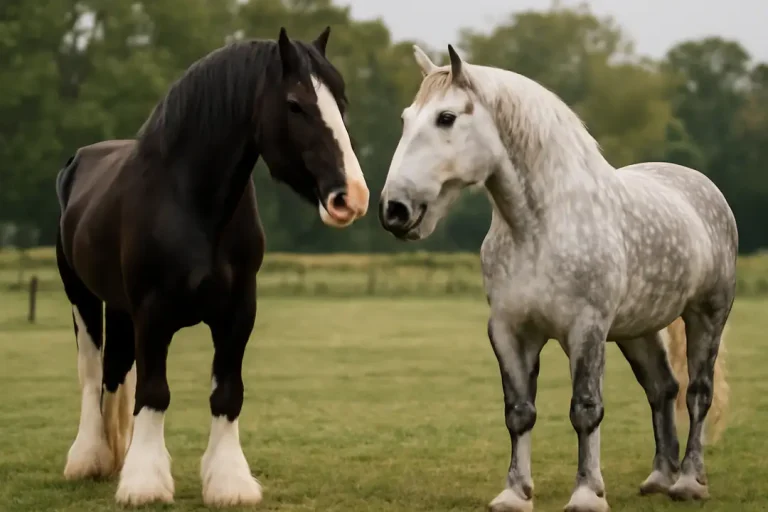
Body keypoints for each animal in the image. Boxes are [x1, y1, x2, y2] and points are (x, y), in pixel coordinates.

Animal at [55, 27, 368, 507]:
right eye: (295, 104)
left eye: (341, 100)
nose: (350, 196)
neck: (190, 202)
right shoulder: (153, 313)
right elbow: (154, 391)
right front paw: (145, 483)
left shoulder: (238, 311)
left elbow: (227, 393)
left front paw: (229, 482)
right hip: (83, 297)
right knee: (91, 373)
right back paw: (87, 458)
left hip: (120, 307)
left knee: (113, 372)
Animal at [379, 45, 734, 512]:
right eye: (405, 119)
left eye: (446, 117)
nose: (394, 209)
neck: (539, 227)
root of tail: (703, 187)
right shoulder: (510, 332)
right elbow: (519, 412)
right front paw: (514, 493)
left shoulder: (585, 329)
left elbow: (585, 409)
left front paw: (587, 493)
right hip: (636, 329)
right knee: (662, 389)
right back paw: (660, 476)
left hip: (706, 315)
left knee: (697, 393)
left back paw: (689, 482)